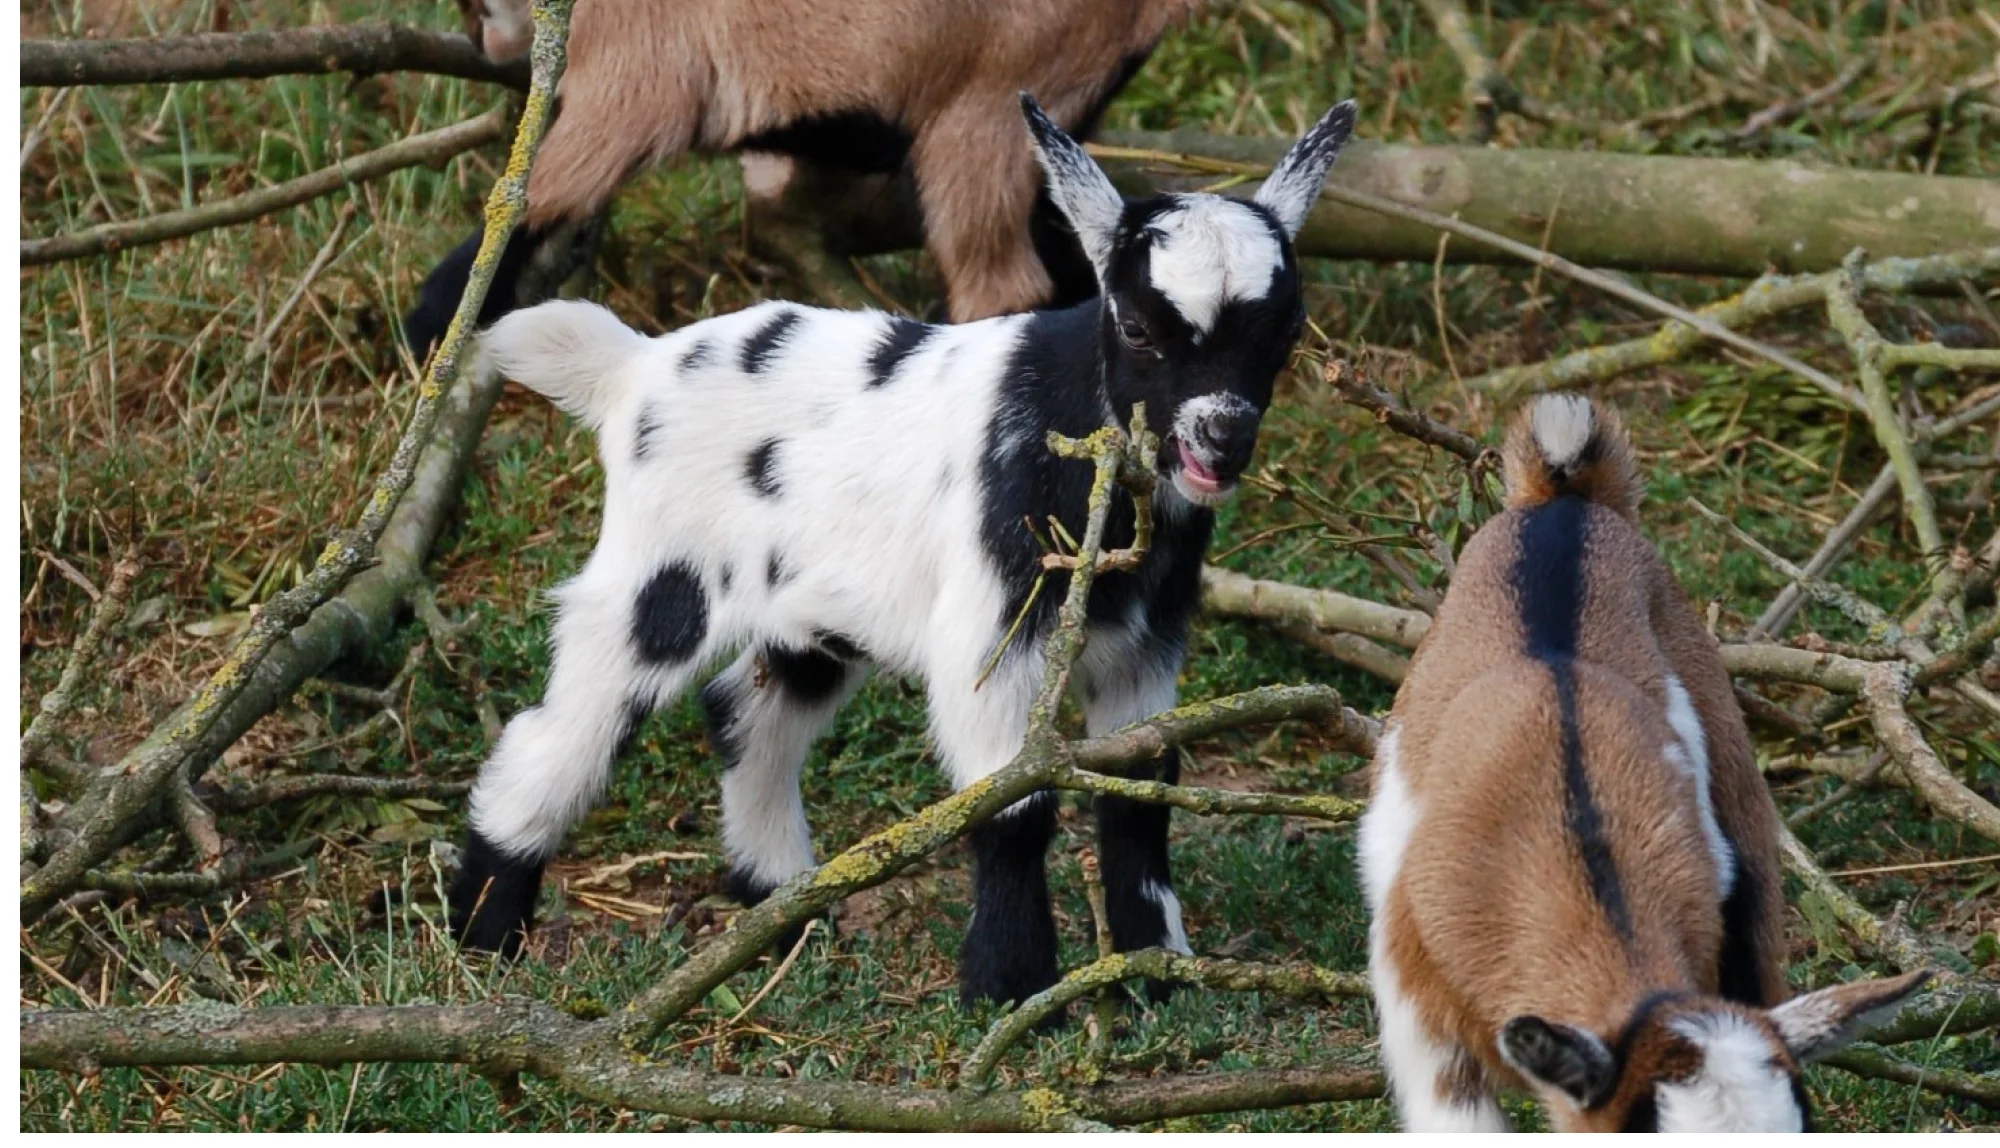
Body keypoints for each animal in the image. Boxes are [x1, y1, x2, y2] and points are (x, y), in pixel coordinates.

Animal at [404, 0, 1211, 364]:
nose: (480, 35)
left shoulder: (633, 79)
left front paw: (429, 327)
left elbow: (533, 196)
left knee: (1002, 287)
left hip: (982, 118)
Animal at [446, 95, 1357, 1006]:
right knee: (568, 723)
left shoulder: (1147, 645)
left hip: (811, 607)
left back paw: (785, 908)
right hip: (662, 578)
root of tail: (634, 368)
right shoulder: (991, 636)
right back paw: (485, 925)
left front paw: (1155, 970)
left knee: (747, 708)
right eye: (1135, 327)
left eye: (1285, 331)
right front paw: (1013, 989)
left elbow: (1140, 794)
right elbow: (1012, 805)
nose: (1222, 437)